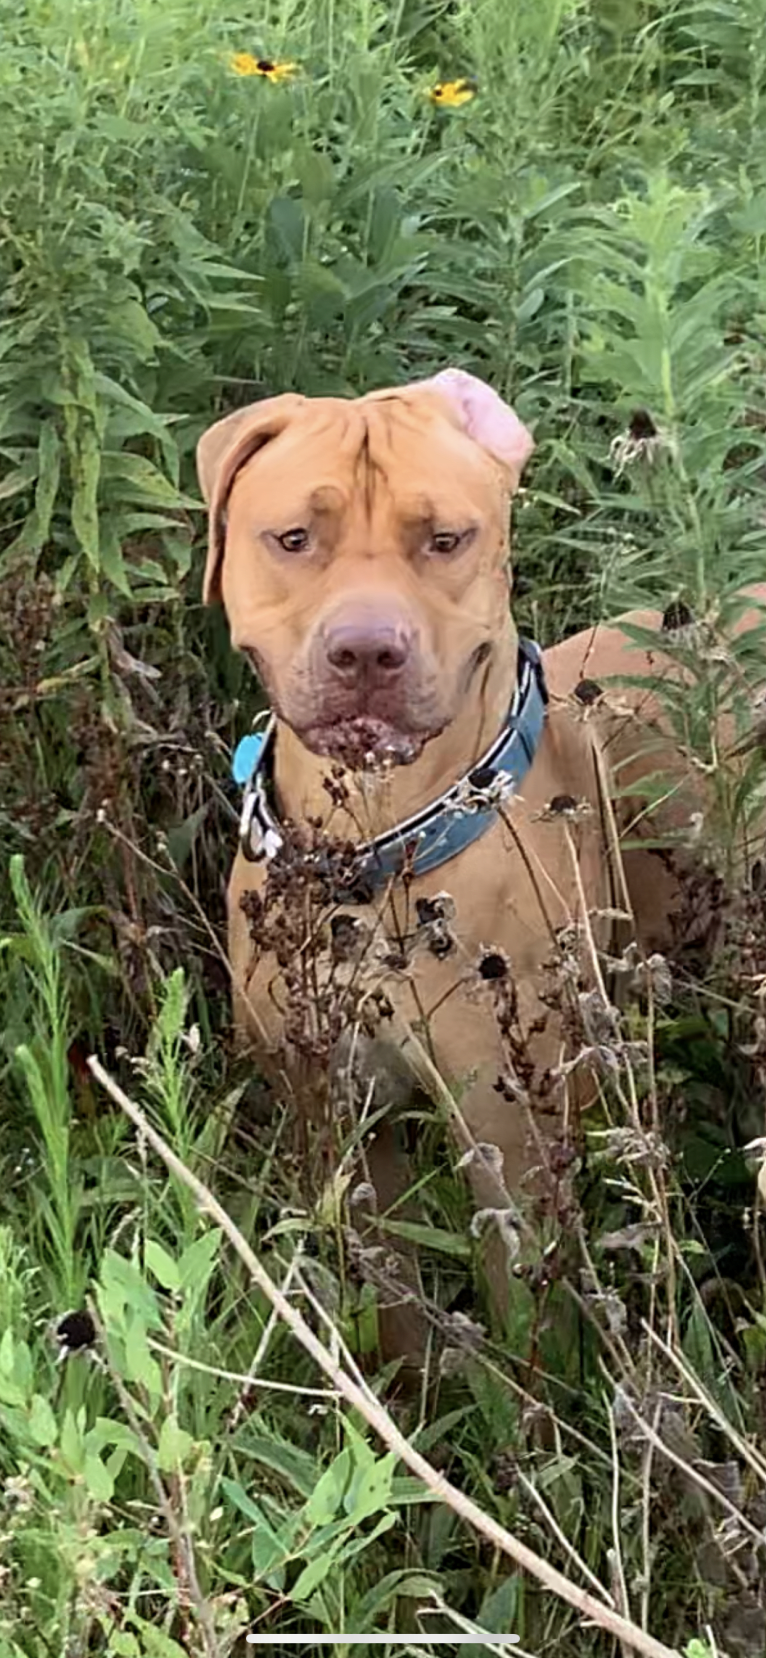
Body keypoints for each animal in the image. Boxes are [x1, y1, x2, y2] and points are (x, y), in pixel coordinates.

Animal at [195, 369, 766, 1352]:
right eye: (294, 539)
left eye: (445, 540)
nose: (366, 649)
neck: (380, 851)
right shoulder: (332, 1115)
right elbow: (391, 1302)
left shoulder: (514, 1143)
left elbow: (528, 1318)